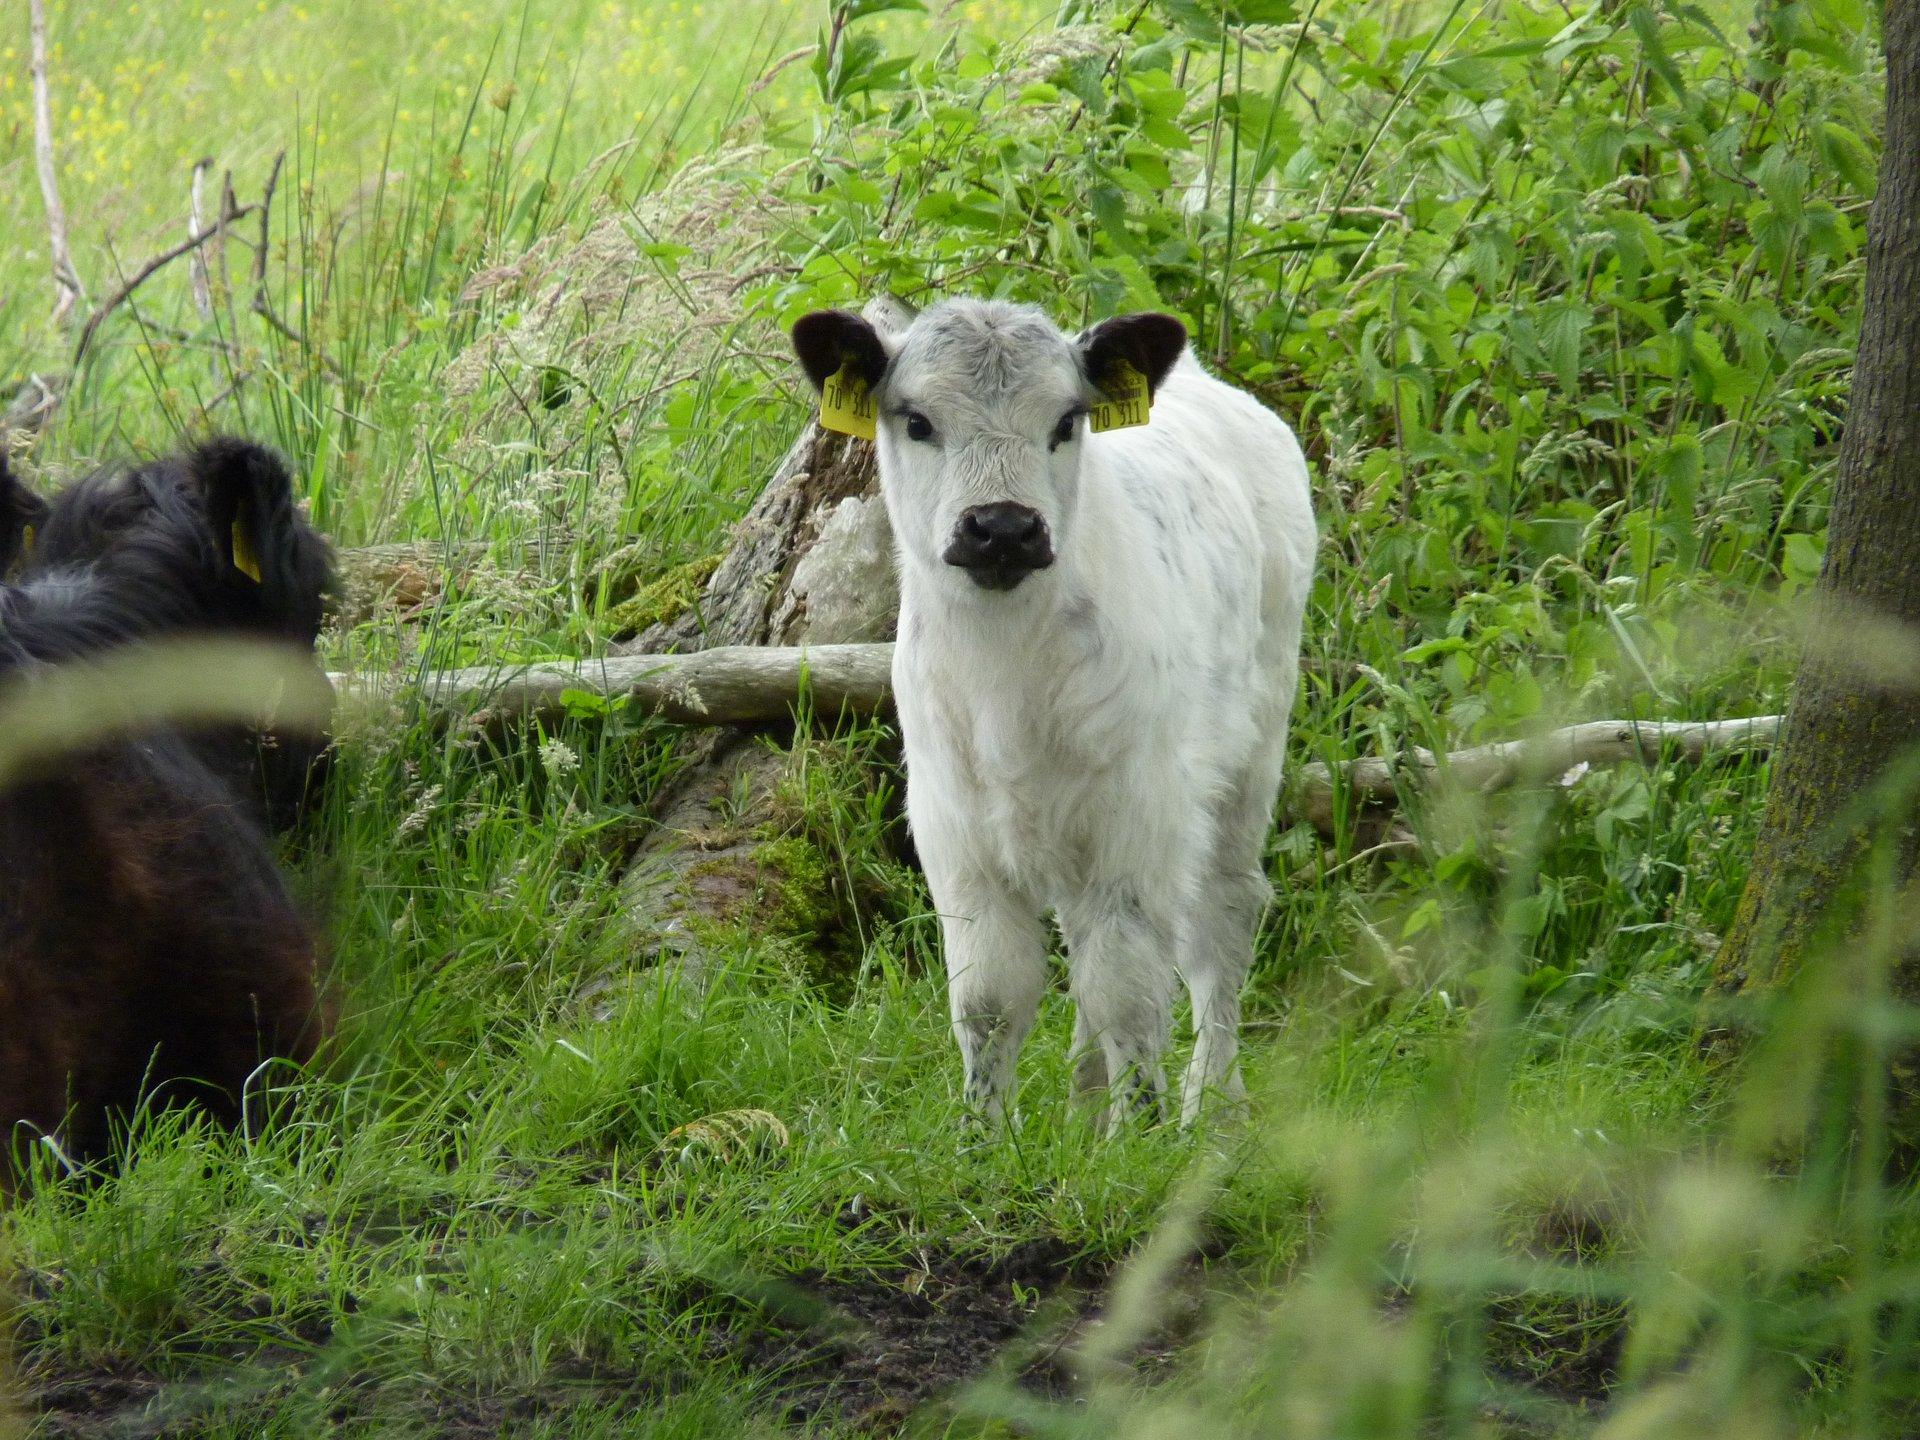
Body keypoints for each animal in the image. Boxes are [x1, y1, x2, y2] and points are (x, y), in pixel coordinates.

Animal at [787, 295, 1313, 1128]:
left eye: (1067, 420)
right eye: (917, 420)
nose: (1002, 527)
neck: (1006, 677)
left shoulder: (1135, 820)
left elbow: (1129, 990)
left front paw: (1139, 1138)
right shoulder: (955, 832)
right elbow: (991, 998)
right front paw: (983, 1138)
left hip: (1248, 753)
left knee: (1219, 923)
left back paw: (1211, 1106)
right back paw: (1085, 1106)